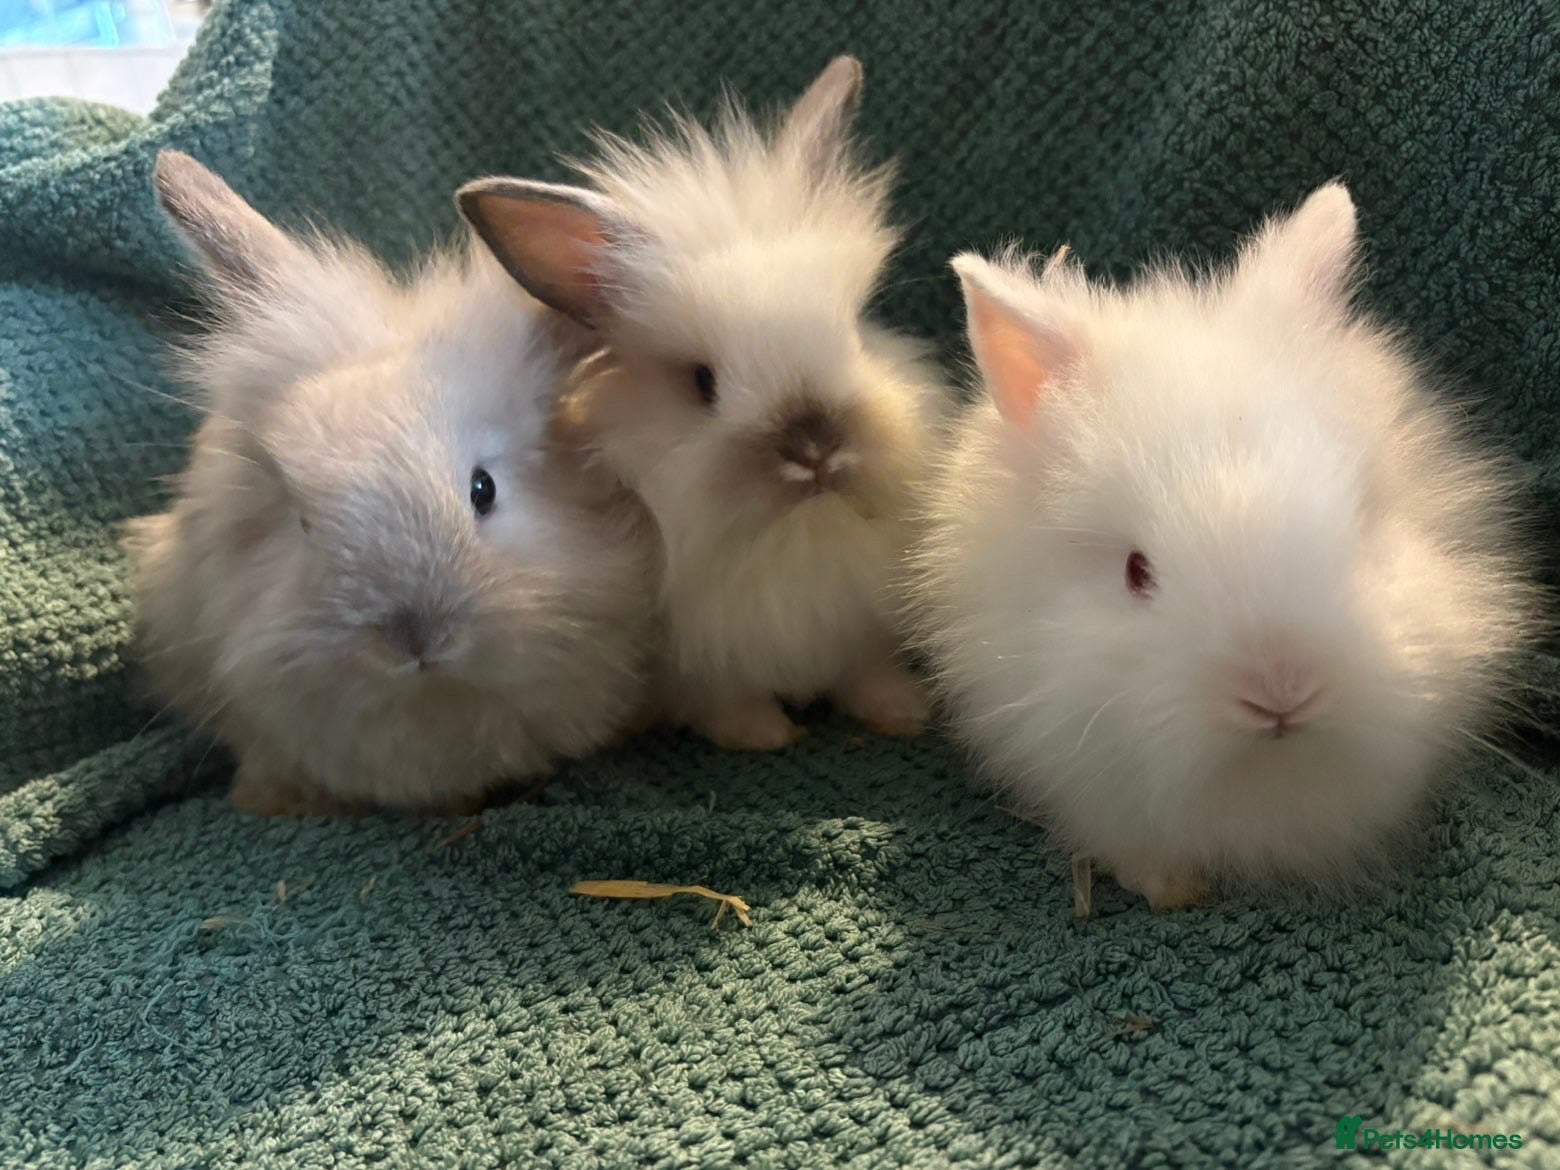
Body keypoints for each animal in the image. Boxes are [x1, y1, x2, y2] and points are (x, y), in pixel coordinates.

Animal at [455, 56, 949, 752]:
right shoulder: (697, 662)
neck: (796, 534)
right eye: (702, 381)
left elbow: (866, 674)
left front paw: (901, 714)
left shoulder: (860, 629)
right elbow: (727, 701)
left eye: (856, 333)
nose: (815, 447)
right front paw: (766, 736)